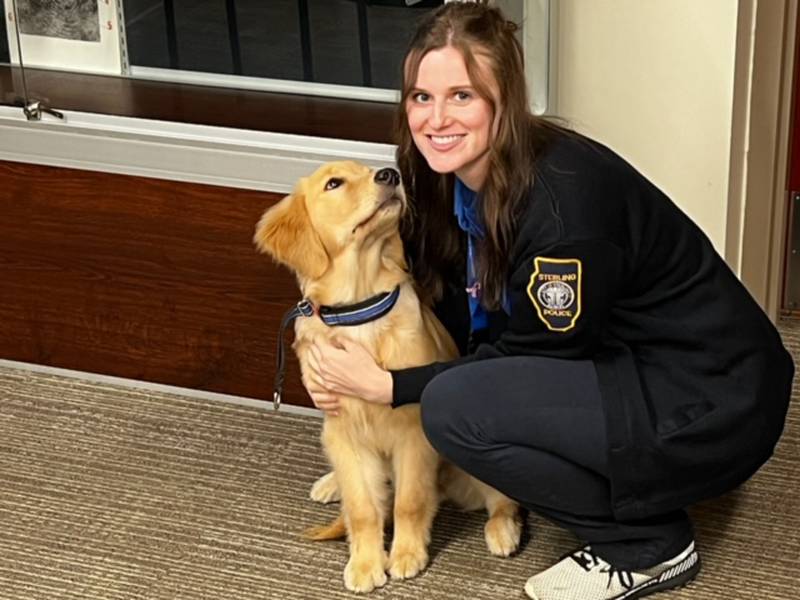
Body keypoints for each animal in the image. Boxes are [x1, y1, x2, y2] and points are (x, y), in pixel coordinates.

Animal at [253, 162, 520, 592]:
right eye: (334, 183)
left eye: (368, 170)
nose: (389, 174)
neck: (359, 309)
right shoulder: (344, 432)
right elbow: (362, 507)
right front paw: (365, 562)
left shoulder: (412, 433)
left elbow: (409, 501)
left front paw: (407, 554)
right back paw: (331, 483)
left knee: (501, 500)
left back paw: (502, 530)